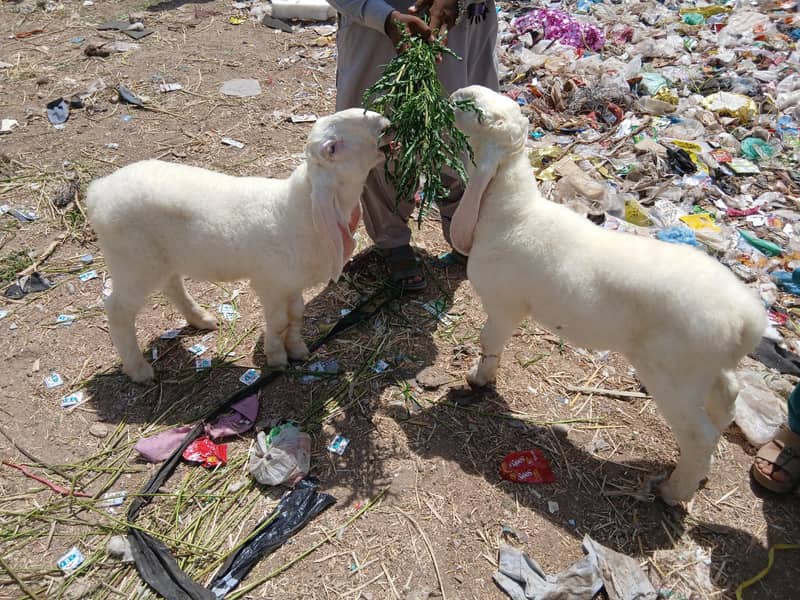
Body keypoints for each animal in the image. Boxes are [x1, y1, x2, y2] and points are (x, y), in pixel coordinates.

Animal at [87, 108, 389, 383]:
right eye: (333, 147)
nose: (384, 121)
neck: (295, 209)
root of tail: (98, 192)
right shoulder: (269, 283)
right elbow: (279, 322)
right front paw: (277, 357)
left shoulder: (290, 282)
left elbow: (296, 315)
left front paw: (298, 350)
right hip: (133, 263)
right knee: (118, 310)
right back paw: (139, 370)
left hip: (161, 258)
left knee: (172, 285)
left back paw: (200, 319)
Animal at [448, 85, 767, 505]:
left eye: (479, 115)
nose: (453, 96)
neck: (513, 211)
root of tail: (747, 319)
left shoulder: (505, 304)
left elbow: (489, 342)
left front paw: (479, 379)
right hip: (708, 366)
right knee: (727, 399)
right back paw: (697, 475)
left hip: (672, 372)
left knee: (699, 434)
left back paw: (672, 491)